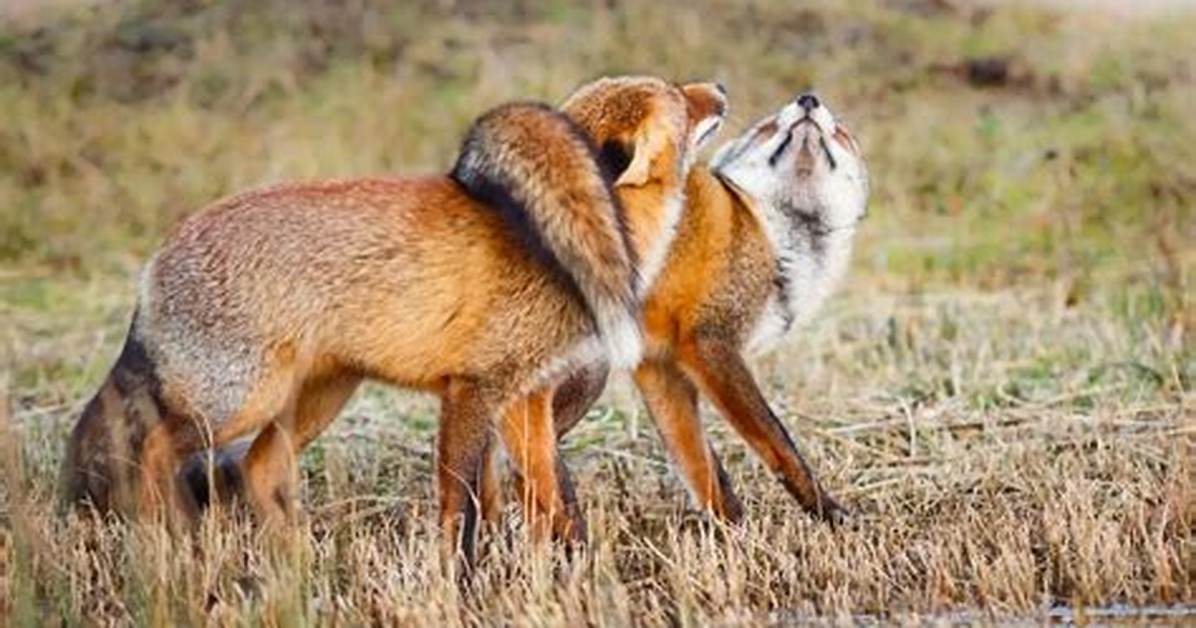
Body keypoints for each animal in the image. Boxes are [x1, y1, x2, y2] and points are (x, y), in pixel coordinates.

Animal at [60, 76, 728, 563]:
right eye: (680, 100)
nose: (720, 87)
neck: (560, 247)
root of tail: (157, 258)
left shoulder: (526, 397)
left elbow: (554, 501)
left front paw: (574, 568)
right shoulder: (474, 390)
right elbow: (462, 504)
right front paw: (460, 581)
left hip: (318, 397)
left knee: (257, 468)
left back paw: (292, 562)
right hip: (236, 401)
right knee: (149, 449)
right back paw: (172, 540)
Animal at [488, 93, 869, 530]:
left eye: (841, 134)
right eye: (768, 127)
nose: (808, 99)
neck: (771, 230)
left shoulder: (659, 363)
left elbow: (700, 464)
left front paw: (730, 529)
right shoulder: (709, 342)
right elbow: (779, 445)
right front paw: (827, 512)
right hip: (588, 373)